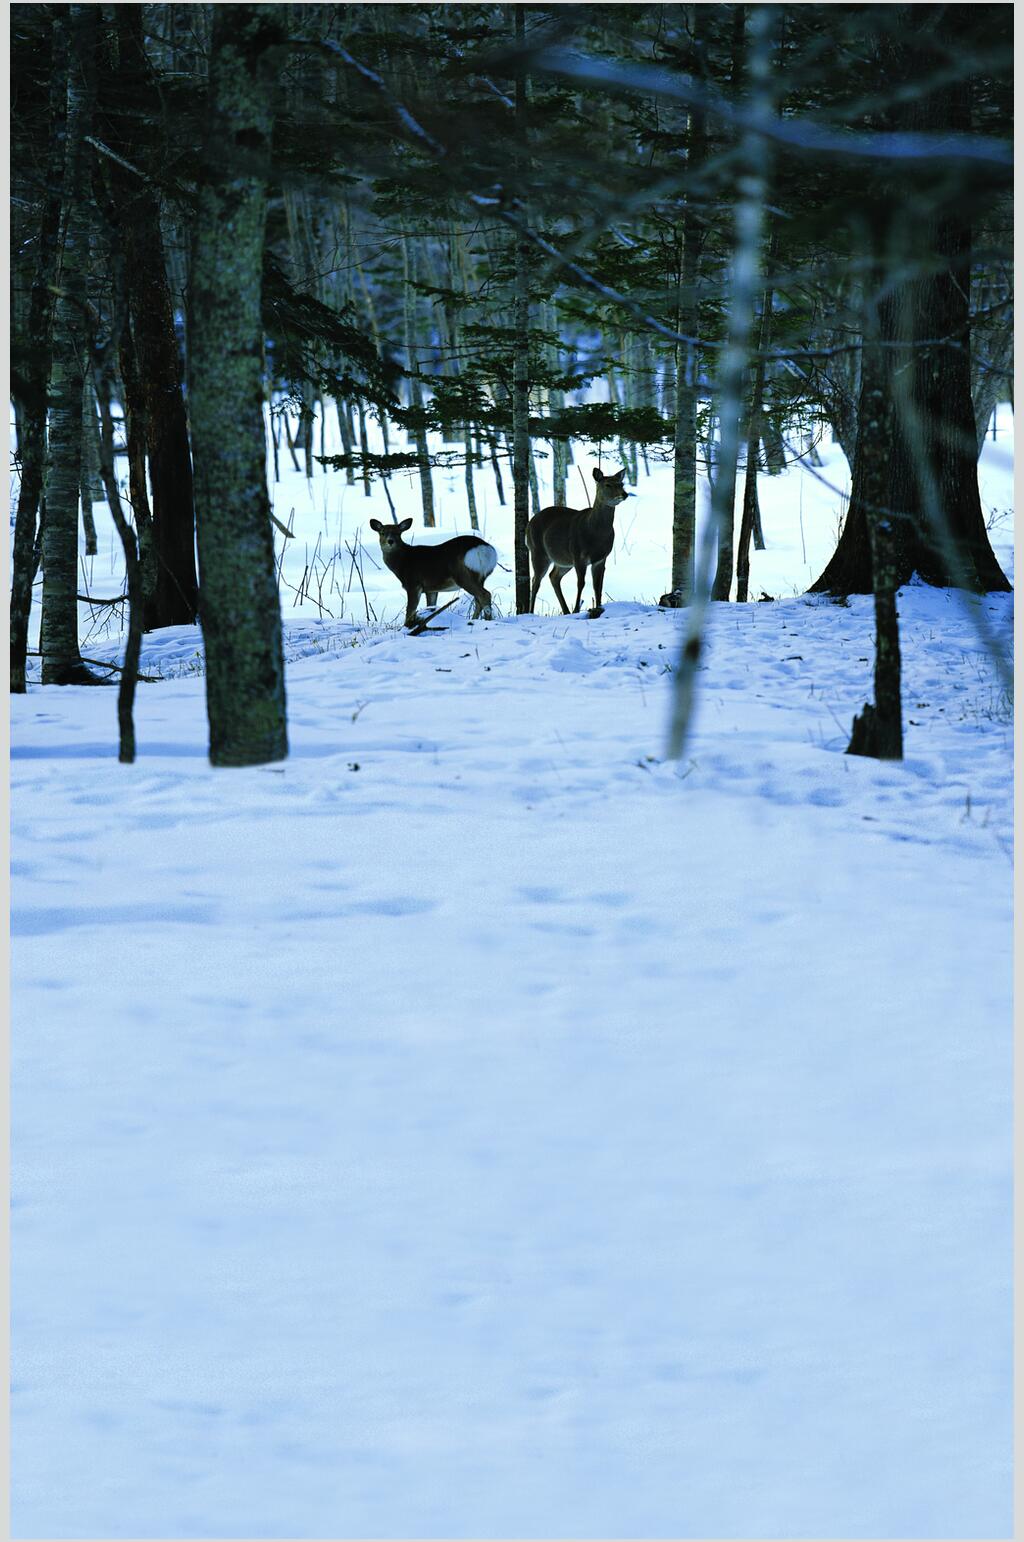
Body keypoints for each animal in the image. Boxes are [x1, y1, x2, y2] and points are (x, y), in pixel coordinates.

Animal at [369, 518, 498, 628]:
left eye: (397, 533)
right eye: (382, 532)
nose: (390, 541)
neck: (402, 563)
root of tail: (486, 549)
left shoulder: (413, 584)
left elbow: (410, 610)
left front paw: (406, 627)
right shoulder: (431, 589)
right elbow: (431, 607)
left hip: (463, 575)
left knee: (484, 595)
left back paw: (488, 621)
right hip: (481, 577)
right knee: (478, 599)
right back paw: (474, 620)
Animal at [526, 467, 632, 617]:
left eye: (621, 484)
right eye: (608, 484)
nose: (624, 494)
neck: (596, 533)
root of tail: (529, 524)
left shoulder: (601, 558)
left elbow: (598, 585)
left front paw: (598, 607)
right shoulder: (578, 555)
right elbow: (581, 583)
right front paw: (577, 609)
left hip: (563, 560)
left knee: (553, 576)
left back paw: (566, 611)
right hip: (538, 551)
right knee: (535, 581)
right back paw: (530, 612)